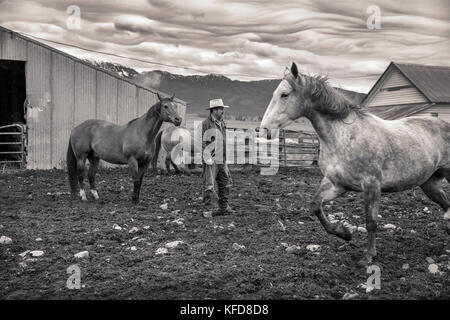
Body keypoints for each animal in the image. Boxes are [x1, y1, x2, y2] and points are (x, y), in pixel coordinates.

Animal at [260, 62, 450, 264]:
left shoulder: (372, 186)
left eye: (284, 94)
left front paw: (368, 256)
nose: (264, 130)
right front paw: (345, 234)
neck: (344, 137)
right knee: (446, 205)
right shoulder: (337, 184)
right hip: (429, 184)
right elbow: (315, 205)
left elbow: (371, 222)